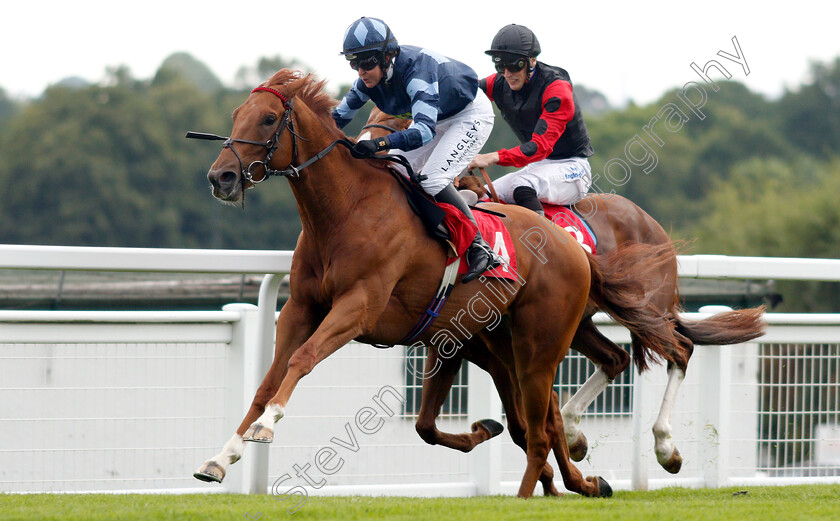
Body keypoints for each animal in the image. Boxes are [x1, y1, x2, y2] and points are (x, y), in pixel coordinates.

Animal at [187, 69, 680, 496]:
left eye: (269, 119)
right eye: (236, 115)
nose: (220, 177)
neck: (347, 210)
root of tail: (573, 247)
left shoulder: (358, 307)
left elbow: (302, 359)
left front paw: (266, 425)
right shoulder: (302, 308)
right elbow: (268, 380)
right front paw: (222, 456)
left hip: (542, 339)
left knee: (609, 382)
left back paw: (647, 453)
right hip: (505, 340)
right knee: (553, 410)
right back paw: (583, 476)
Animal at [360, 106, 768, 476]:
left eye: (400, 119)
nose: (366, 146)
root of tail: (649, 222)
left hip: (647, 307)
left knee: (679, 350)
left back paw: (665, 446)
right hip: (577, 322)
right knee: (614, 359)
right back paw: (575, 434)